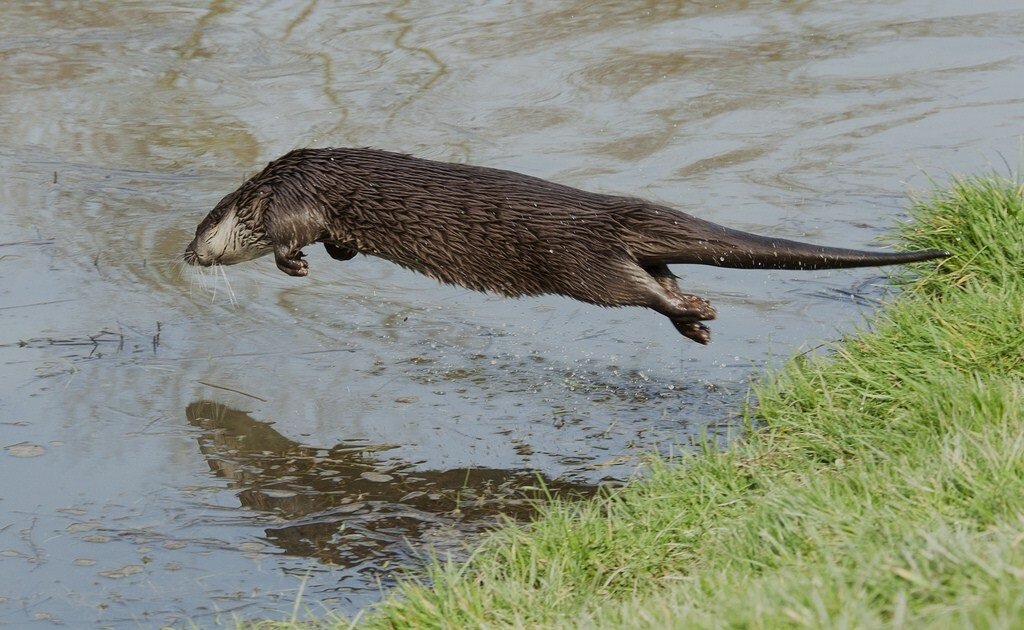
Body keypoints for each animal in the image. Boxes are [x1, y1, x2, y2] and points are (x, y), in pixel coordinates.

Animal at [182, 146, 942, 344]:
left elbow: (291, 235)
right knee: (661, 273)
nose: (185, 257)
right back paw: (696, 319)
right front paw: (338, 254)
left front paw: (296, 264)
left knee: (638, 291)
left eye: (197, 231)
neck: (269, 187)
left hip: (581, 265)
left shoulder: (293, 196)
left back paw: (693, 314)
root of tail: (614, 212)